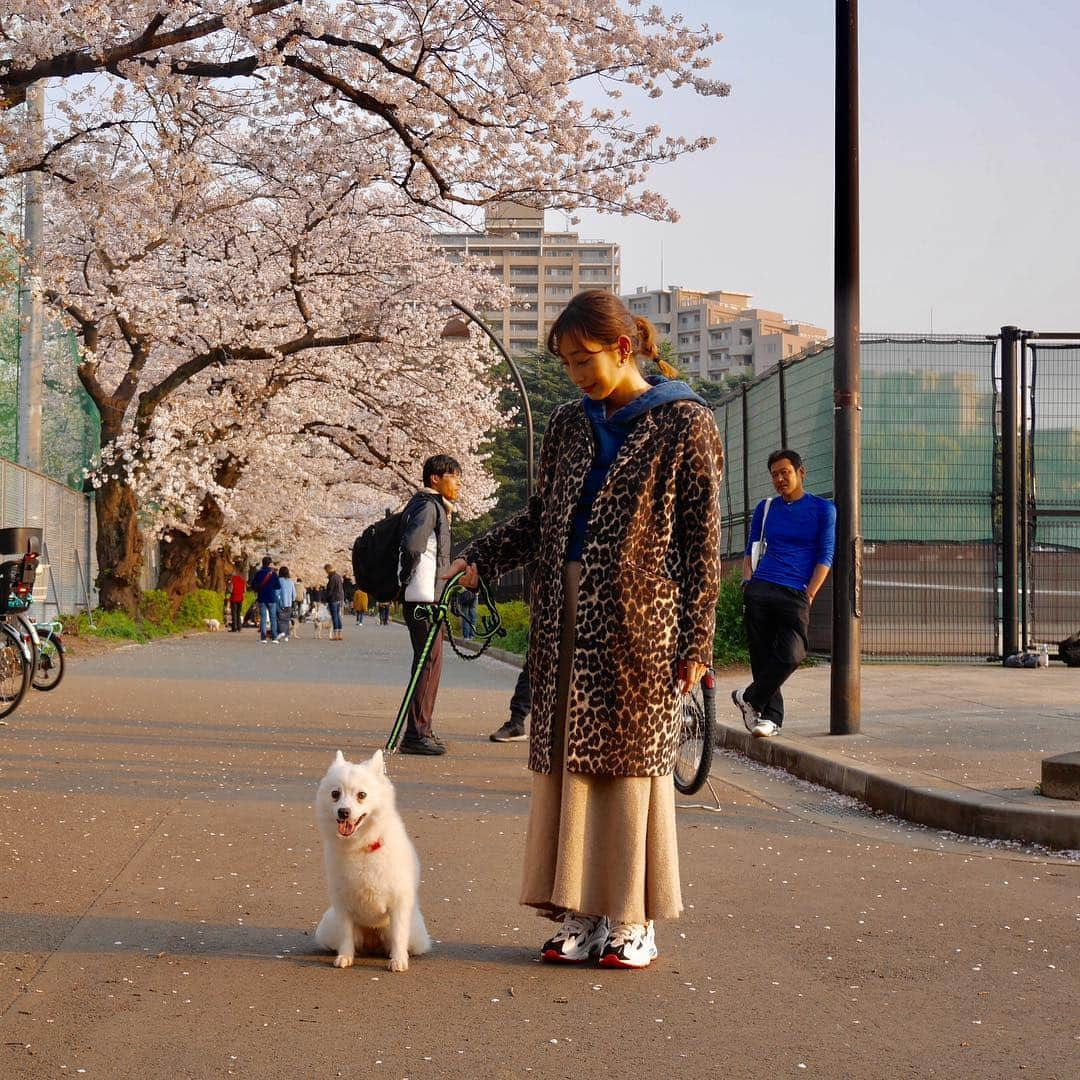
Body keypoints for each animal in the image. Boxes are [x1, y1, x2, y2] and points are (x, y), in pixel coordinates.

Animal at [313, 751, 429, 972]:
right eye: (335, 794)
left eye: (361, 795)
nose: (343, 812)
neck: (361, 847)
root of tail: (372, 941)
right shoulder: (342, 904)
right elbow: (346, 935)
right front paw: (345, 956)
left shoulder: (399, 904)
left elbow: (399, 935)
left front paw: (398, 960)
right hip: (328, 928)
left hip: (413, 933)